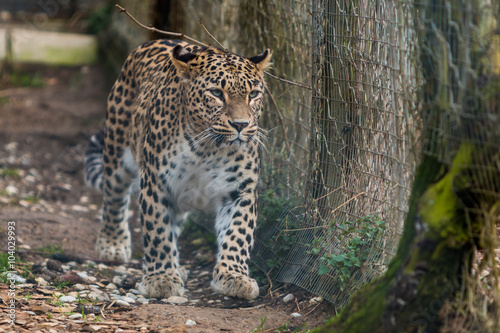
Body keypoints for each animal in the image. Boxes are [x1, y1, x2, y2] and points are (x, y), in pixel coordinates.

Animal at [83, 39, 270, 300]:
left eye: (253, 95)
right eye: (216, 93)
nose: (241, 125)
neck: (208, 148)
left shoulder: (240, 190)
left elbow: (237, 234)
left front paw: (234, 277)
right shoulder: (156, 183)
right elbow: (158, 231)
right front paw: (160, 279)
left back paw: (178, 267)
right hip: (116, 150)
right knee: (114, 198)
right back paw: (112, 244)